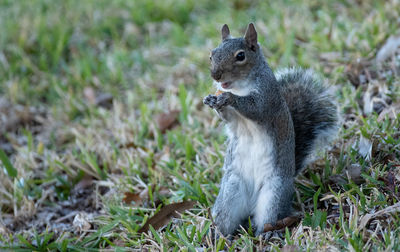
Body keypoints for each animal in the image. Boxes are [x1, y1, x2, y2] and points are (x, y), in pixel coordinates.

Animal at [203, 23, 338, 236]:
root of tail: (250, 202)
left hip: (273, 194)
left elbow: (255, 108)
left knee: (268, 218)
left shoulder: (267, 97)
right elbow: (229, 119)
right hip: (231, 190)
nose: (215, 75)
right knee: (226, 217)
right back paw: (219, 235)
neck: (240, 86)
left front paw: (230, 98)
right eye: (212, 55)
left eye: (240, 56)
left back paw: (265, 234)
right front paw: (211, 100)